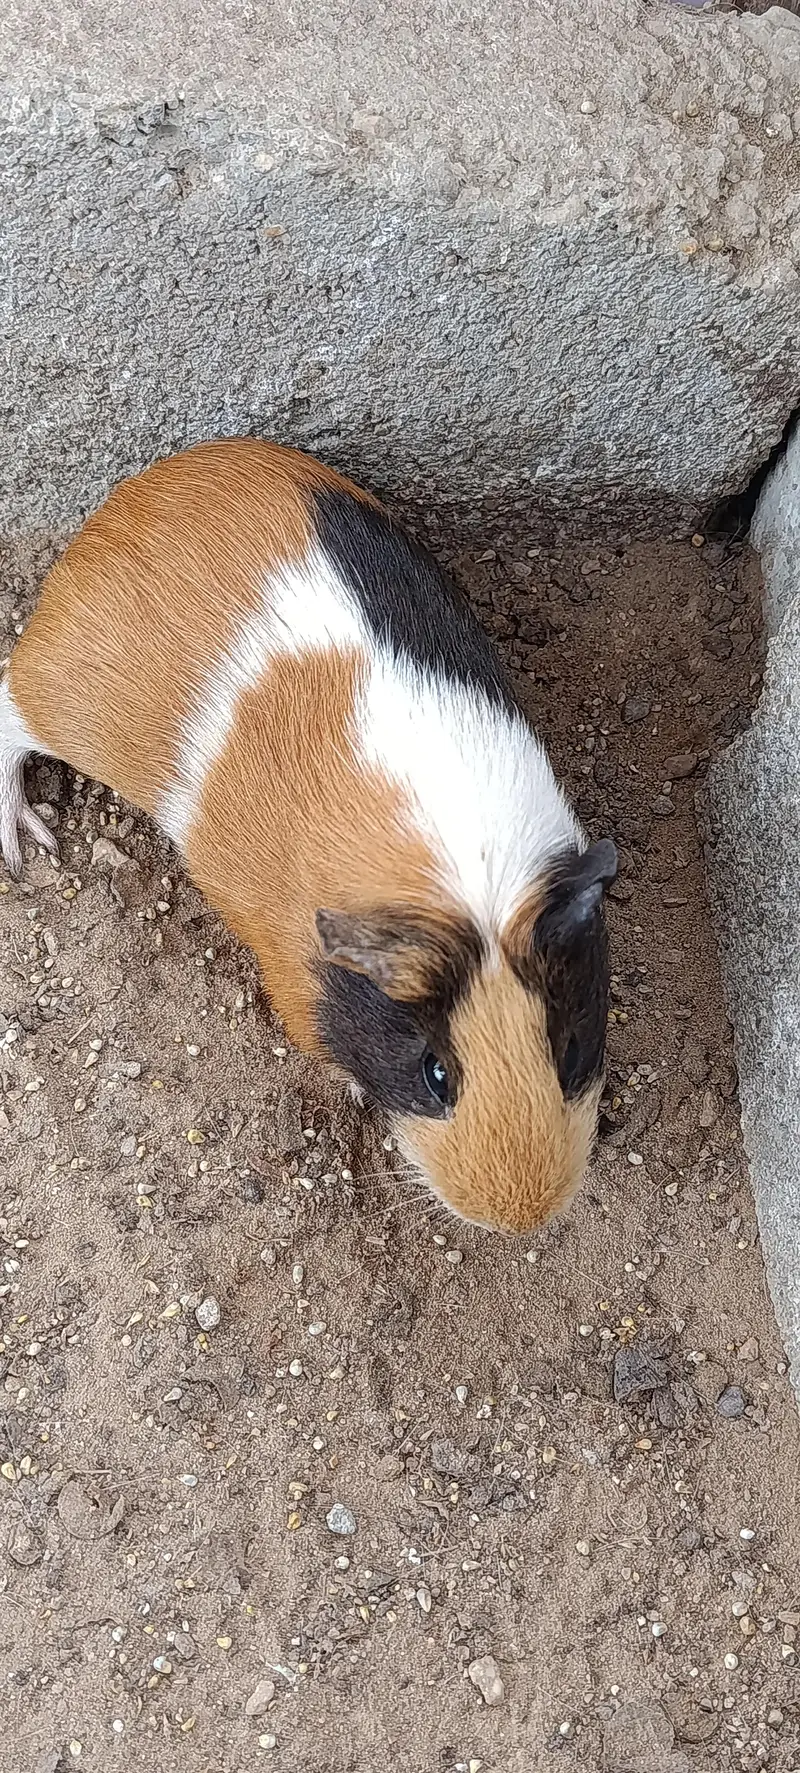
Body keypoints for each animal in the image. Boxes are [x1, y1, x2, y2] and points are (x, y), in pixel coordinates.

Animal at [0, 438, 616, 1231]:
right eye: (435, 1072)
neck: (468, 887)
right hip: (53, 701)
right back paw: (28, 840)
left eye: (568, 1049)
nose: (523, 1216)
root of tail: (116, 511)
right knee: (6, 711)